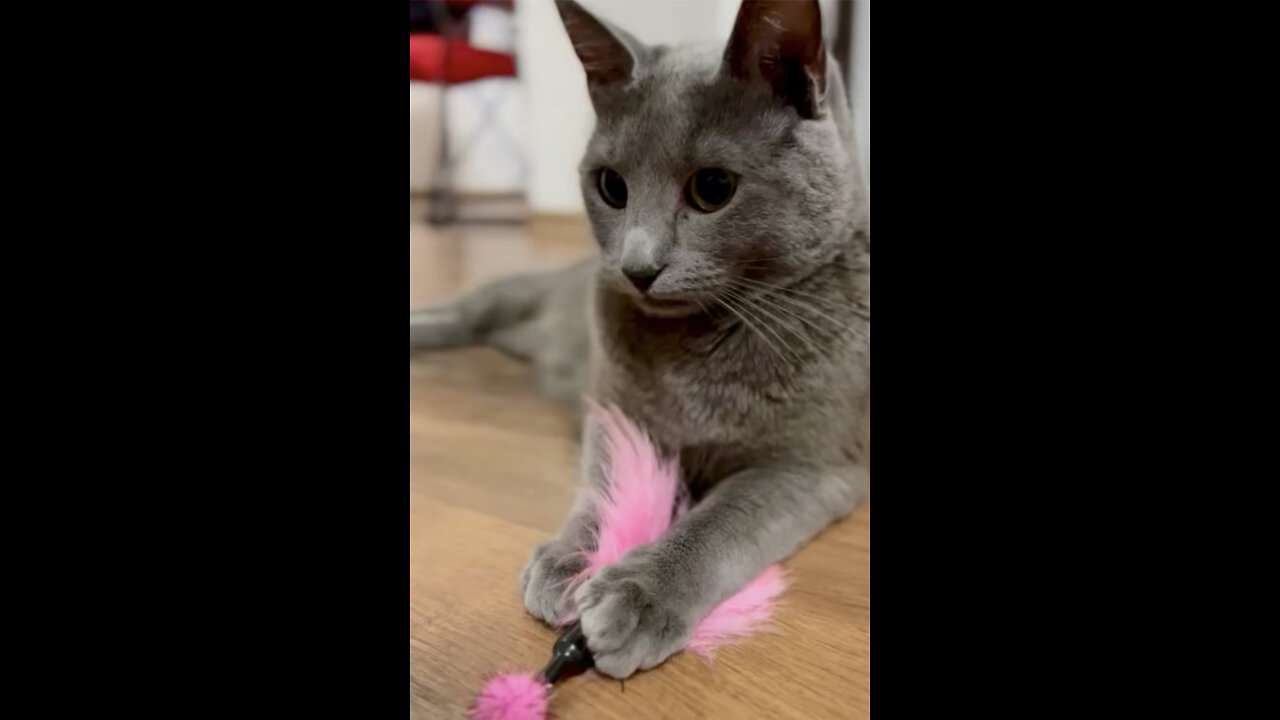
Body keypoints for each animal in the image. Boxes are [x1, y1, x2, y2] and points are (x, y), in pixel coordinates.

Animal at [409, 0, 870, 676]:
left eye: (713, 188)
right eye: (611, 186)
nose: (637, 267)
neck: (700, 347)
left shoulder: (813, 465)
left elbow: (723, 523)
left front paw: (639, 595)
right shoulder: (613, 407)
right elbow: (607, 475)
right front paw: (570, 561)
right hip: (507, 295)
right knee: (462, 311)